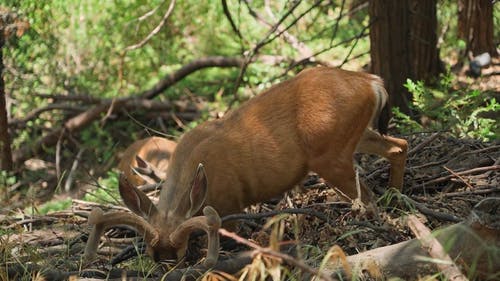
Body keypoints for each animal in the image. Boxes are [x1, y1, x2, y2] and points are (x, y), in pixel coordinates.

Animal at [84, 66, 408, 266]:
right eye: (152, 252)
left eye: (178, 250)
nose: (166, 264)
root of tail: (372, 83)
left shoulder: (230, 204)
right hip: (356, 136)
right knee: (399, 145)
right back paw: (397, 199)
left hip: (330, 153)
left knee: (367, 198)